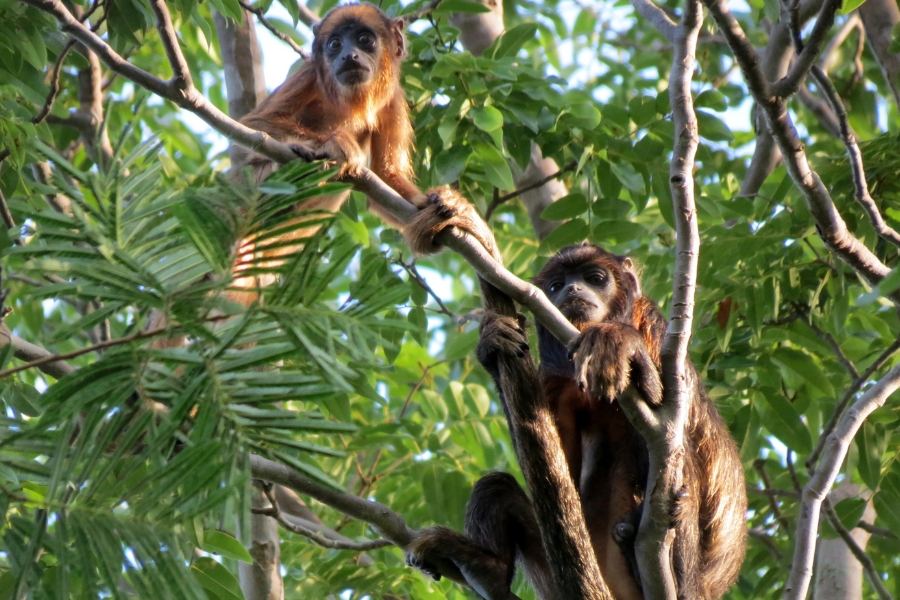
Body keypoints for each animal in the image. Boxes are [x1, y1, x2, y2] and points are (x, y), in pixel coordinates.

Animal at [408, 244, 744, 600]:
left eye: (595, 278)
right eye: (556, 285)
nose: (572, 290)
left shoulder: (655, 324)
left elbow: (670, 414)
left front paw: (617, 340)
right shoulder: (555, 375)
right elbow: (558, 470)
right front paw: (491, 341)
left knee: (675, 458)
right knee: (495, 485)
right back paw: (486, 567)